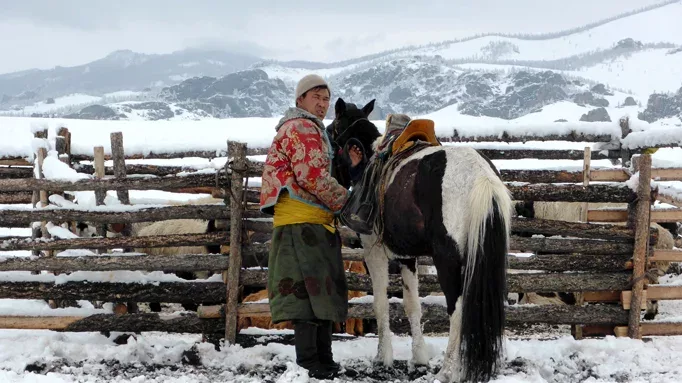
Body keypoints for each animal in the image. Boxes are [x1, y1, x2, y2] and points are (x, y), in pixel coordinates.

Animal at [328, 97, 510, 382]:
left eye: (332, 129)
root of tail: (482, 177)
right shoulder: (406, 256)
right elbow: (412, 305)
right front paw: (419, 357)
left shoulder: (373, 251)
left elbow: (380, 304)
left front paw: (383, 357)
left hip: (447, 260)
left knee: (457, 309)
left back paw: (448, 370)